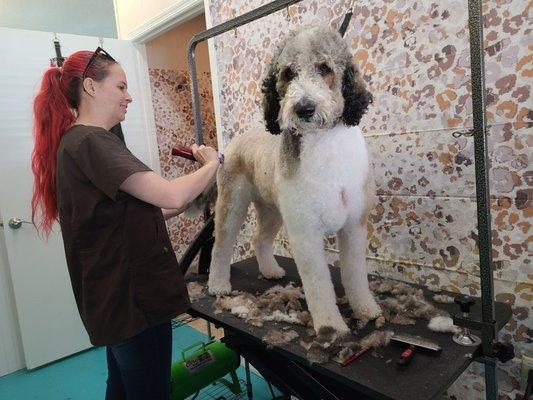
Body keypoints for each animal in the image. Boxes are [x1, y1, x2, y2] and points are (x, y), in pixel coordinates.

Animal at [206, 26, 380, 334]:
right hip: (231, 205)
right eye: (288, 73)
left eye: (324, 68)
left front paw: (365, 308)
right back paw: (217, 284)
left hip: (272, 210)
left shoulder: (354, 225)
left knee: (259, 239)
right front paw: (330, 326)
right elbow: (319, 285)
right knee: (221, 246)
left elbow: (356, 273)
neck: (324, 147)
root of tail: (235, 141)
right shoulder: (306, 232)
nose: (304, 108)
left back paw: (269, 270)